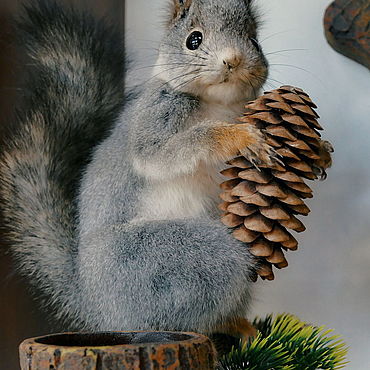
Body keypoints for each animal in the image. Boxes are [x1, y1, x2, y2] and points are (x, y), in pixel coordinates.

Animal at [0, 0, 332, 342]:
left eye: (254, 40)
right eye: (193, 40)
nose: (233, 60)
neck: (222, 105)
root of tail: (96, 309)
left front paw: (318, 152)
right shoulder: (157, 115)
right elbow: (160, 154)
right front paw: (238, 137)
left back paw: (238, 326)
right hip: (172, 260)